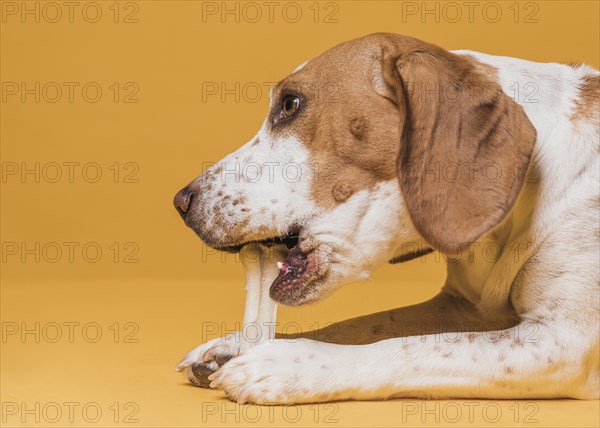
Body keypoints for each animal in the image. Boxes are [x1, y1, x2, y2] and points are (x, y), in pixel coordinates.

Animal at [172, 34, 600, 404]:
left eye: (290, 104)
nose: (181, 202)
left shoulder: (560, 342)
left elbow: (411, 348)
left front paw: (285, 364)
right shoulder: (461, 307)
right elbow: (363, 325)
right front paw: (232, 347)